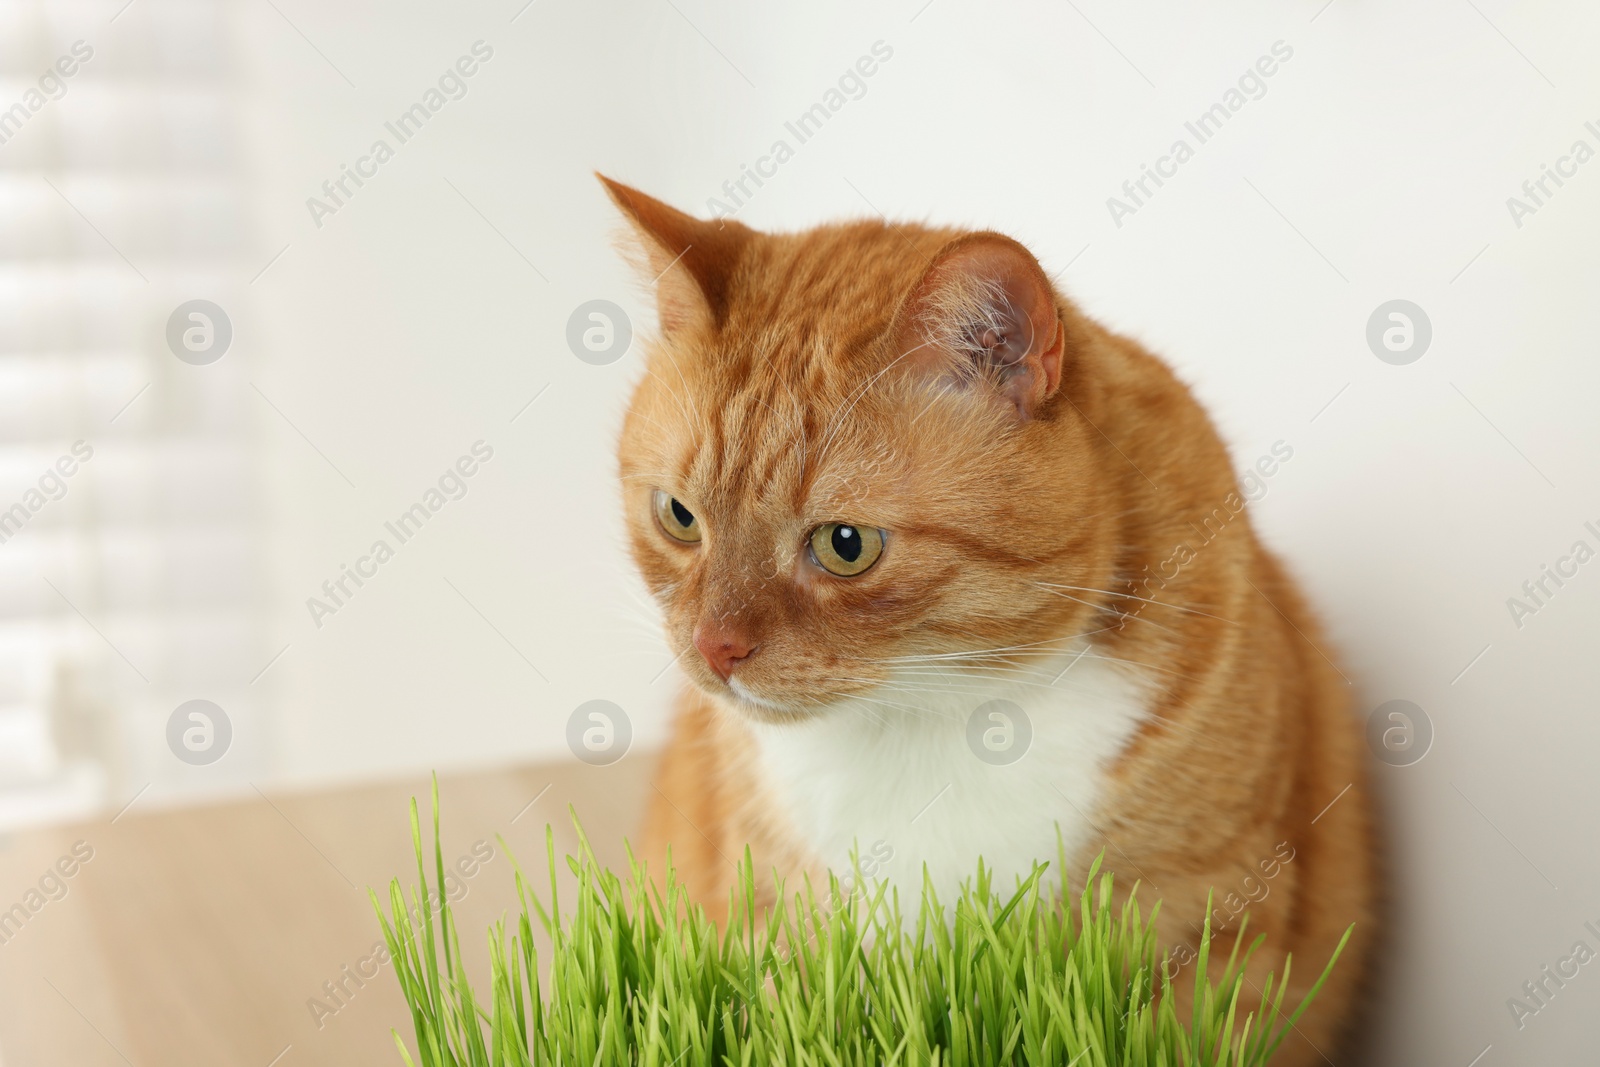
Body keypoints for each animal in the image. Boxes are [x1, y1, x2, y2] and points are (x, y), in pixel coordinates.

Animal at [604, 175, 1369, 1062]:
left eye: (845, 545)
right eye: (679, 517)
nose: (713, 646)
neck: (944, 710)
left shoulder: (1202, 925)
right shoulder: (785, 929)